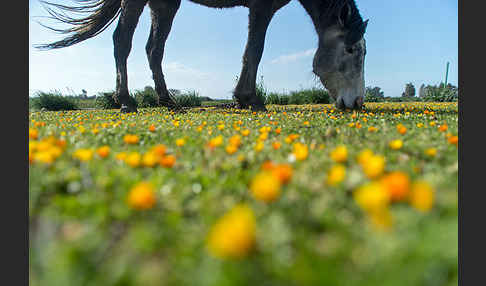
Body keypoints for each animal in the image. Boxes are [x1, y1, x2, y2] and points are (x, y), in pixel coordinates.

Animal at [36, 1, 368, 113]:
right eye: (352, 50)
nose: (356, 103)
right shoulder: (262, 6)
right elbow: (255, 49)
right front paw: (251, 99)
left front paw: (242, 99)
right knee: (123, 41)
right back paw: (126, 101)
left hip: (164, 4)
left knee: (153, 49)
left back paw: (168, 102)